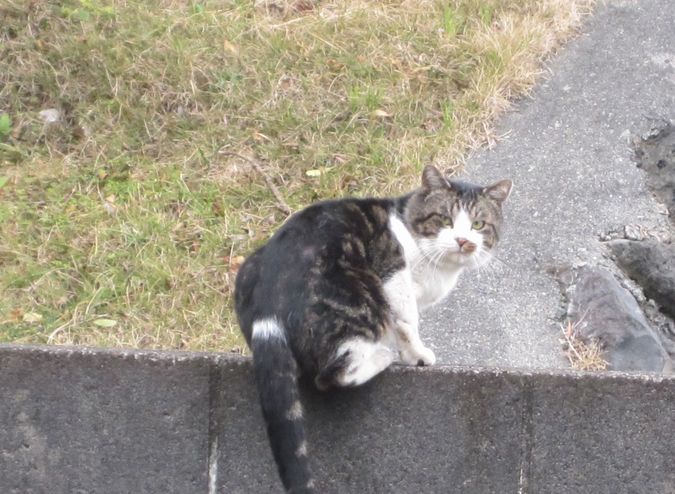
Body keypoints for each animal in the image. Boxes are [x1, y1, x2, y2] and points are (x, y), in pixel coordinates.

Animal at [235, 164, 510, 492]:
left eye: (479, 224)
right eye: (445, 219)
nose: (463, 241)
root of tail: (267, 300)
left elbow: (400, 328)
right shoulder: (395, 276)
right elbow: (407, 322)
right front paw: (418, 356)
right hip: (360, 298)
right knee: (331, 375)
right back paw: (380, 357)